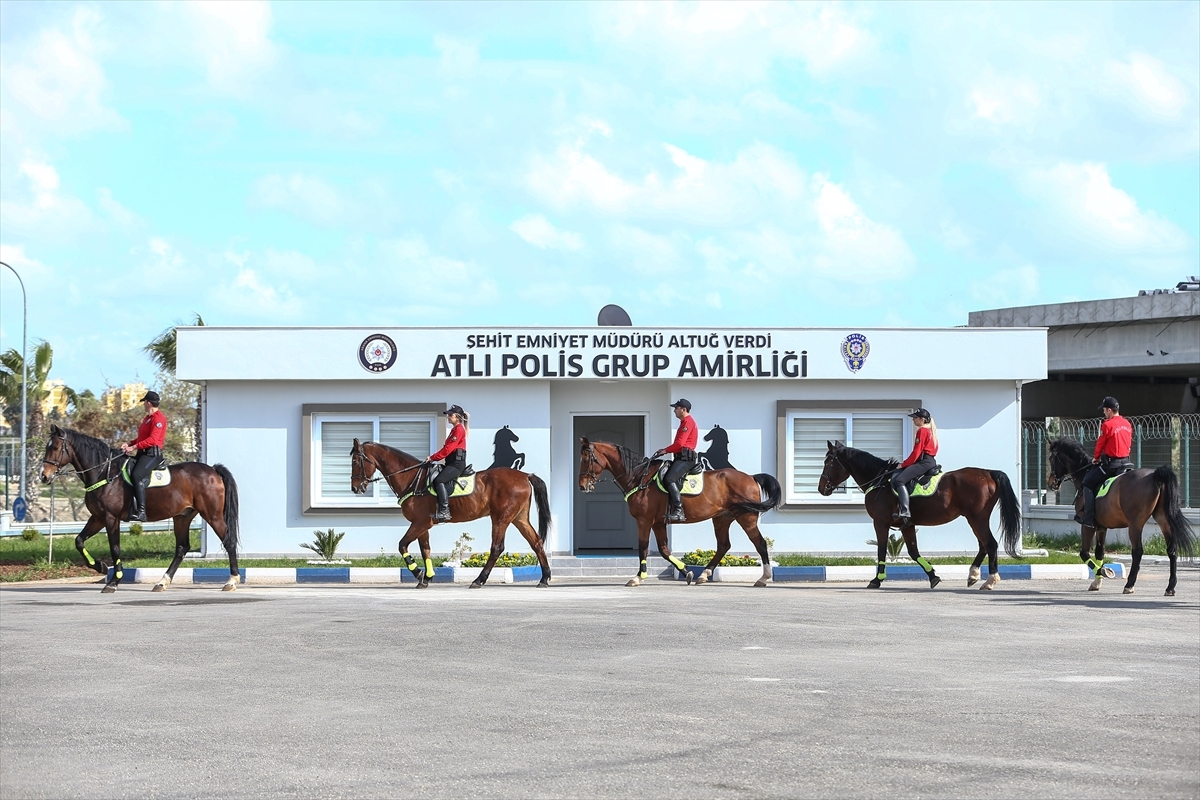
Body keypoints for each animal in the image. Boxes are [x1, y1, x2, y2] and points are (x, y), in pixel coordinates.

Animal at [40, 424, 241, 594]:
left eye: (55, 448)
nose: (44, 476)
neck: (105, 473)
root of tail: (213, 471)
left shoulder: (111, 518)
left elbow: (115, 548)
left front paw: (113, 582)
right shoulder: (97, 518)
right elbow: (79, 541)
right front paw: (100, 567)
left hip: (212, 515)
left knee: (229, 541)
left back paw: (231, 581)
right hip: (182, 517)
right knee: (182, 548)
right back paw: (162, 582)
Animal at [350, 438, 549, 587]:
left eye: (355, 461)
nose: (355, 488)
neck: (414, 479)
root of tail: (524, 475)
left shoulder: (421, 523)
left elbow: (402, 545)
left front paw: (418, 573)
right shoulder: (422, 524)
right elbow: (425, 549)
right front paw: (427, 577)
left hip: (501, 518)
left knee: (497, 548)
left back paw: (479, 580)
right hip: (519, 518)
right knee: (536, 542)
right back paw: (545, 578)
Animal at [578, 438, 782, 587]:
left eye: (586, 459)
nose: (582, 486)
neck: (640, 477)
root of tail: (751, 477)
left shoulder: (644, 520)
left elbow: (643, 548)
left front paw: (638, 577)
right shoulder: (658, 523)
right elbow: (664, 550)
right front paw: (687, 572)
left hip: (746, 518)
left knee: (760, 543)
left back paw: (763, 578)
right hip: (722, 519)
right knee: (723, 545)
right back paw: (704, 575)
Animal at [816, 441, 1022, 592]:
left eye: (828, 462)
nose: (821, 488)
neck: (880, 480)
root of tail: (988, 473)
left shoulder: (880, 522)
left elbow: (882, 550)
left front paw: (877, 580)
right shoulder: (907, 525)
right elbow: (914, 552)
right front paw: (933, 576)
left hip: (977, 519)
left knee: (990, 544)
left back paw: (989, 581)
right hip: (975, 519)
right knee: (983, 546)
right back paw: (973, 575)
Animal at [1046, 438, 1195, 594]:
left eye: (1051, 458)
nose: (1051, 483)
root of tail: (1155, 475)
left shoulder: (1088, 526)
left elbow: (1084, 553)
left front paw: (1104, 571)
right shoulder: (1101, 527)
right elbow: (1100, 553)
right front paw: (1097, 582)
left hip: (1135, 524)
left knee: (1137, 551)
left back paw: (1129, 584)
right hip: (1163, 519)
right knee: (1172, 550)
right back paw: (1170, 587)